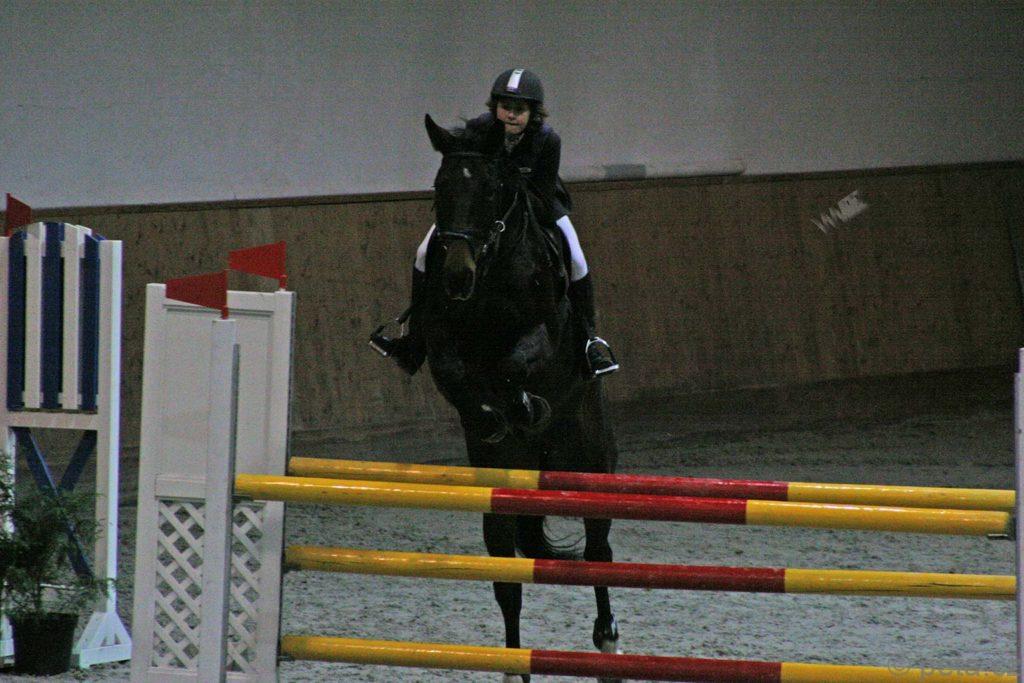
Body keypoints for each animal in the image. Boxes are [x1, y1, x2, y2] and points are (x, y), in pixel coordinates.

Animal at [418, 114, 621, 683]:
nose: (457, 276)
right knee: (508, 579)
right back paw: (513, 666)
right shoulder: (441, 336)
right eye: (441, 187)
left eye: (490, 191)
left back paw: (608, 642)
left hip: (592, 467)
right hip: (501, 501)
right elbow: (455, 372)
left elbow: (517, 362)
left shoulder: (543, 332)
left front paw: (525, 405)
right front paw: (490, 417)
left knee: (599, 551)